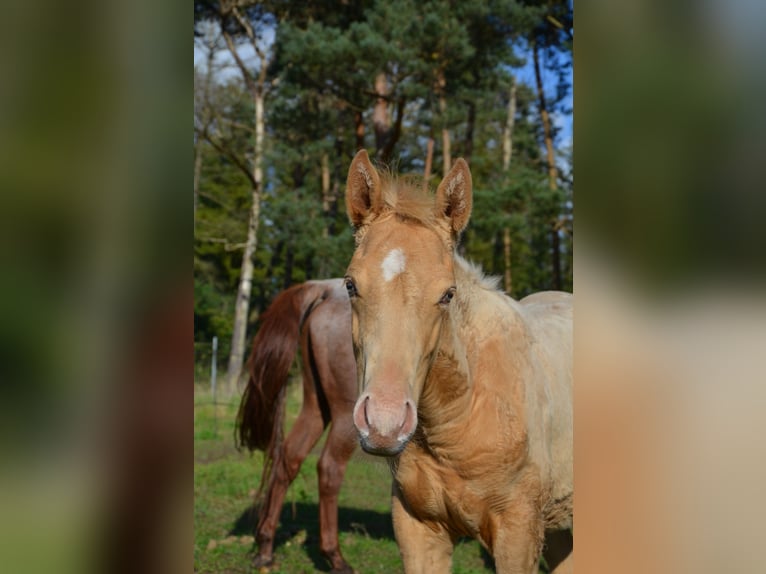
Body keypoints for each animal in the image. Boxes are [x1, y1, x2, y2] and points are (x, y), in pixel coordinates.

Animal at [236, 280, 358, 574]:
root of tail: (328, 289)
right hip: (347, 414)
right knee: (329, 468)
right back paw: (335, 557)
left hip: (316, 407)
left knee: (288, 459)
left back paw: (265, 548)